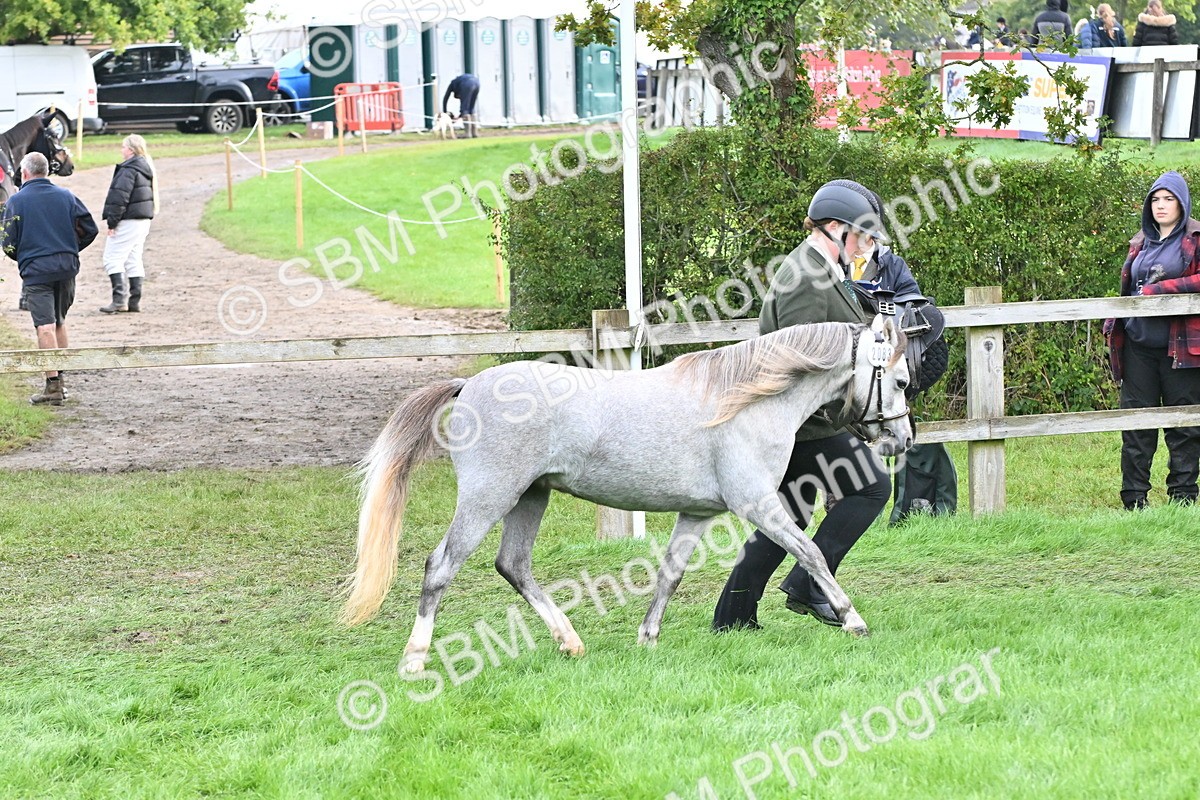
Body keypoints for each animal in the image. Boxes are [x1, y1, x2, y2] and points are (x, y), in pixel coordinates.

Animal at [343, 315, 913, 672]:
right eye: (902, 382)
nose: (902, 439)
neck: (747, 401)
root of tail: (470, 386)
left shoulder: (696, 513)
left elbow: (670, 574)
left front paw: (647, 638)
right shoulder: (758, 505)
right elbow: (811, 552)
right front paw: (853, 621)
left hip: (530, 498)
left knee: (514, 565)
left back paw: (570, 642)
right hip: (489, 498)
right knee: (441, 566)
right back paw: (415, 660)